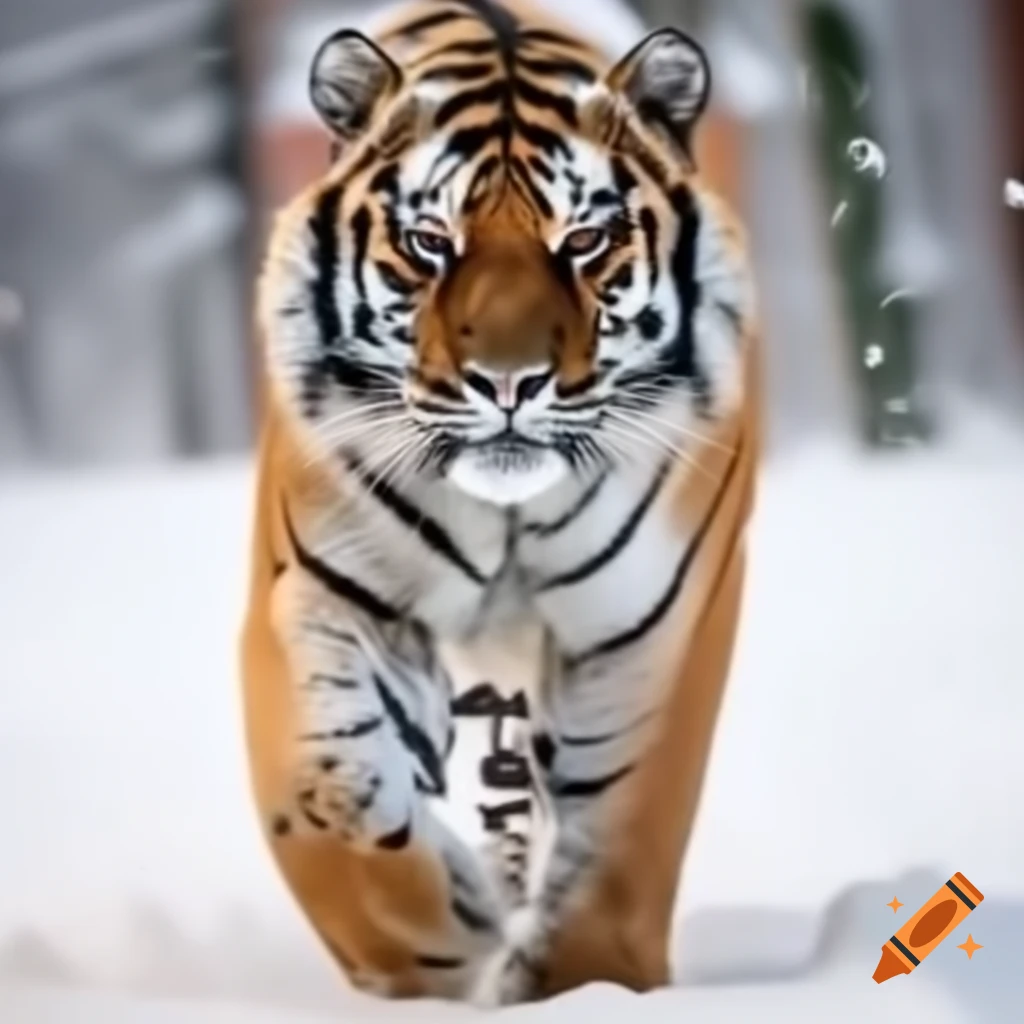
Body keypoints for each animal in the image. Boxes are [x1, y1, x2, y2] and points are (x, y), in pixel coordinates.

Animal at [241, 0, 758, 1007]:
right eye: (430, 243)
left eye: (584, 242)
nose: (509, 382)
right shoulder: (329, 595)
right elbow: (330, 799)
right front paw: (439, 942)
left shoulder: (649, 635)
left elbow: (623, 835)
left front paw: (588, 983)